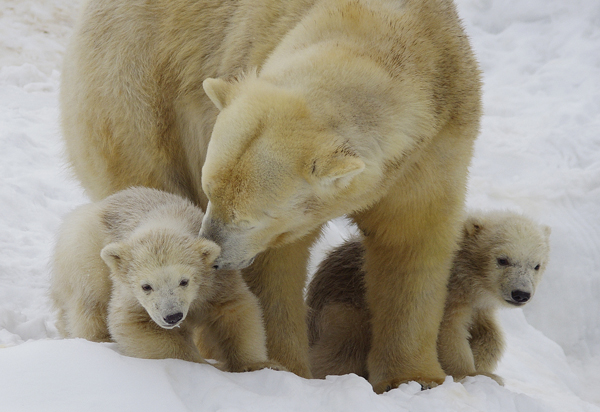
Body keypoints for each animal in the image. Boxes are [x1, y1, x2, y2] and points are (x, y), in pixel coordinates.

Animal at [61, 0, 480, 392]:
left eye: (249, 218)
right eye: (211, 193)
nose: (215, 259)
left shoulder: (437, 143)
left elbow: (411, 246)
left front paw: (416, 379)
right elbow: (275, 268)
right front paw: (283, 368)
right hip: (137, 96)